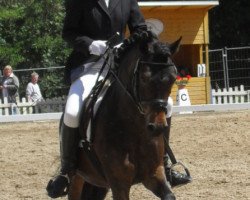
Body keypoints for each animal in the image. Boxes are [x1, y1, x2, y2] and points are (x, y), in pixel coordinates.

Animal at [69, 30, 182, 199]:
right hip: (77, 177)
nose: (157, 127)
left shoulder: (154, 175)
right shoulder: (119, 184)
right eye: (144, 78)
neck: (135, 129)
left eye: (173, 79)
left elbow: (168, 195)